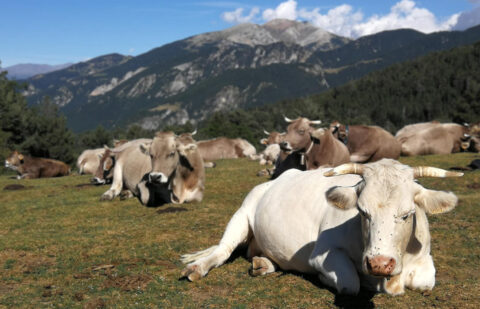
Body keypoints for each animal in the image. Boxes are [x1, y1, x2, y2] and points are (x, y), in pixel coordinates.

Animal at [180, 158, 462, 294]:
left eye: (408, 214)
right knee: (223, 250)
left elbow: (426, 282)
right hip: (243, 212)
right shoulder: (322, 255)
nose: (379, 263)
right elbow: (349, 283)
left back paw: (263, 263)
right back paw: (196, 267)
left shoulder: (424, 257)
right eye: (362, 211)